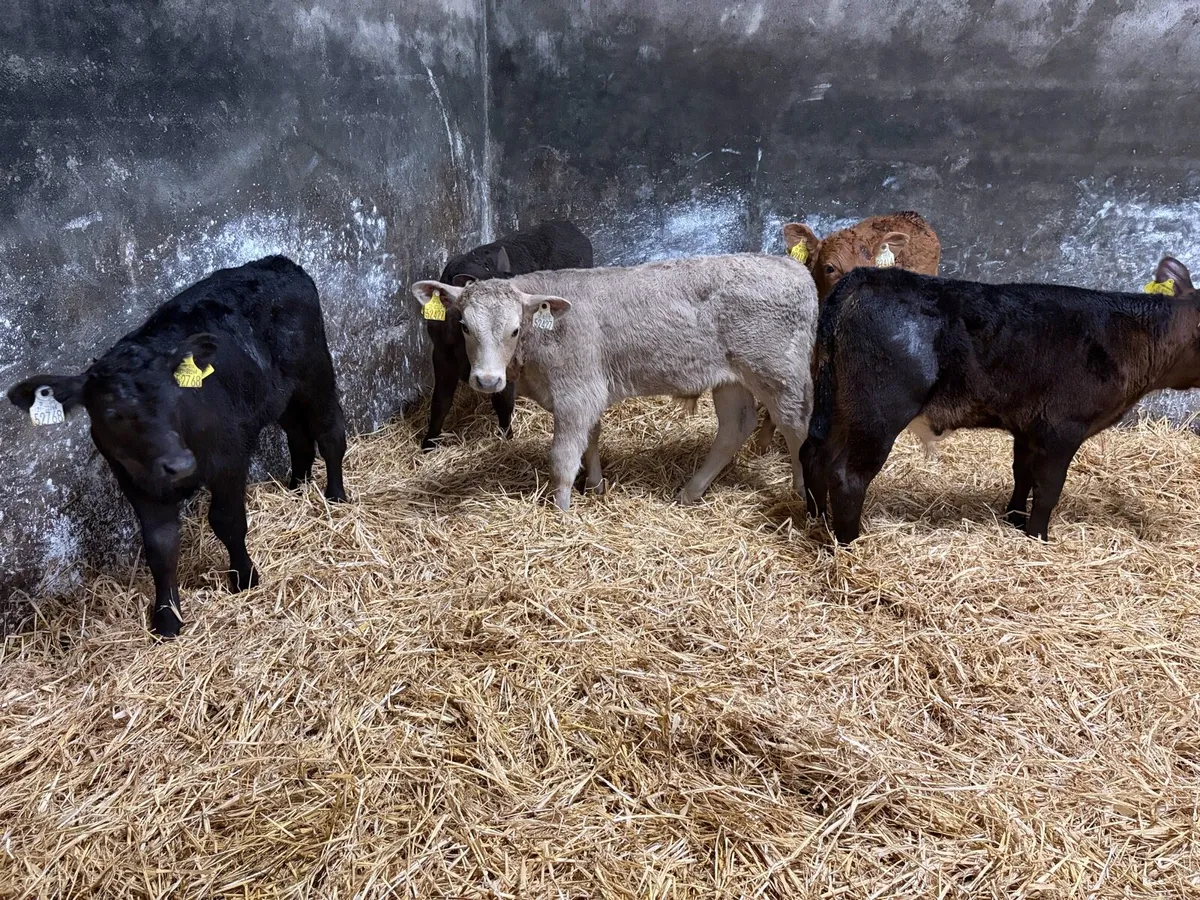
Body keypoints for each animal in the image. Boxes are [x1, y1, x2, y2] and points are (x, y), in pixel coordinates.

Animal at [7, 256, 348, 638]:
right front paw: (167, 617)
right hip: (277, 395)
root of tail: (277, 261)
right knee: (299, 436)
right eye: (112, 413)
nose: (180, 464)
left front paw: (244, 578)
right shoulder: (136, 482)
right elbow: (160, 547)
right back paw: (296, 487)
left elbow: (228, 520)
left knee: (329, 431)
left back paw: (335, 497)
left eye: (176, 395)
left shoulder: (229, 458)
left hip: (314, 370)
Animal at [411, 254, 818, 510]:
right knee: (736, 426)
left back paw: (805, 496)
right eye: (464, 325)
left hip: (778, 372)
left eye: (514, 329)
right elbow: (591, 438)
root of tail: (794, 269)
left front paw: (561, 511)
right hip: (730, 378)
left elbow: (562, 458)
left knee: (796, 426)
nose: (487, 379)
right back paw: (690, 492)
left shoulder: (576, 392)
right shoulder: (589, 391)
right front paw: (594, 486)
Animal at [420, 220, 593, 451]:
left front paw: (506, 437)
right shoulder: (441, 354)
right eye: (466, 326)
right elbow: (440, 402)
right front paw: (429, 443)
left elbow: (503, 402)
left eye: (514, 329)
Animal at [798, 257, 1200, 543]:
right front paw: (1038, 537)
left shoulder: (1029, 427)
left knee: (814, 454)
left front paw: (1013, 520)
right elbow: (1048, 488)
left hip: (838, 405)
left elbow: (1022, 475)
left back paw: (815, 519)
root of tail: (863, 277)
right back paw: (850, 542)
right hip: (878, 412)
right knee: (847, 475)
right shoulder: (1062, 428)